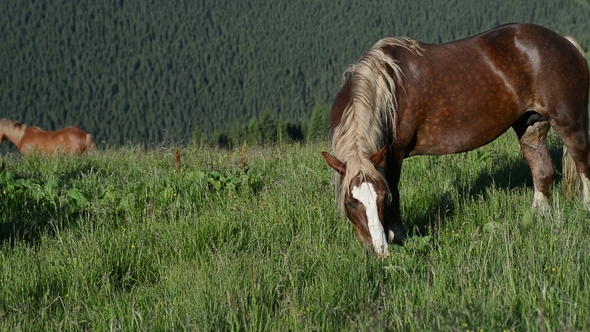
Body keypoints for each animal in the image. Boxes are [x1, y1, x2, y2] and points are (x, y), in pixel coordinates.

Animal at [324, 23, 590, 258]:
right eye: (350, 203)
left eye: (381, 197)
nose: (380, 252)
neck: (386, 88)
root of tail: (566, 42)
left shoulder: (394, 154)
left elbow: (396, 193)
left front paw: (398, 236)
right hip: (531, 126)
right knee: (543, 171)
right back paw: (537, 217)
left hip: (569, 123)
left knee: (583, 164)